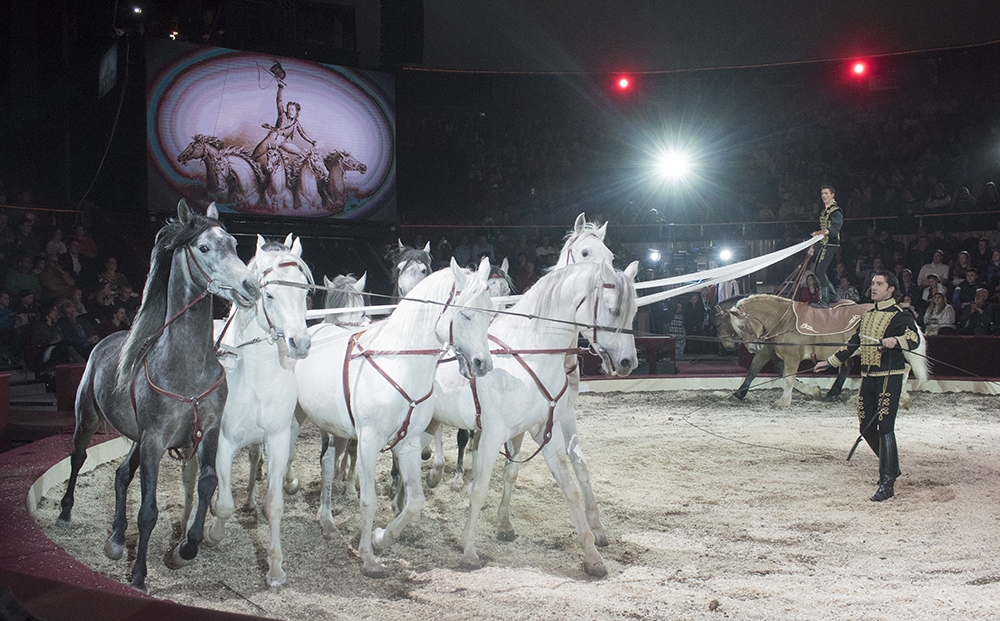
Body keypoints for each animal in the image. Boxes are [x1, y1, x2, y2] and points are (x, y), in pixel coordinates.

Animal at [55, 200, 261, 591]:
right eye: (204, 248)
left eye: (232, 244)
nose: (251, 287)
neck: (186, 369)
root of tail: (104, 341)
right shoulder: (154, 441)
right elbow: (148, 511)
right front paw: (138, 574)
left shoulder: (206, 431)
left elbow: (207, 483)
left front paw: (186, 549)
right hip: (88, 418)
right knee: (77, 458)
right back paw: (65, 512)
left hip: (135, 438)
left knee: (121, 474)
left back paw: (116, 540)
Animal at [203, 234, 313, 587]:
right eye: (270, 294)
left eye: (305, 292)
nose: (300, 343)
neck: (256, 377)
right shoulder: (223, 441)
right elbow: (224, 503)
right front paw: (212, 534)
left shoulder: (277, 439)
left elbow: (274, 505)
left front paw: (276, 569)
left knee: (253, 461)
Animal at [294, 257, 495, 577]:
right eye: (465, 315)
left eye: (490, 315)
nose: (483, 364)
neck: (398, 361)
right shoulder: (368, 442)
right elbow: (368, 500)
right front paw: (367, 557)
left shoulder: (408, 443)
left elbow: (415, 501)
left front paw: (381, 538)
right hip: (296, 418)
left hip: (336, 429)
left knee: (326, 464)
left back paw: (327, 523)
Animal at [431, 259, 638, 577]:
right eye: (612, 309)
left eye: (634, 311)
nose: (629, 362)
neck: (528, 354)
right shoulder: (493, 434)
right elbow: (479, 489)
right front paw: (469, 551)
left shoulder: (545, 430)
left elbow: (569, 485)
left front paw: (592, 554)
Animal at [724, 294, 928, 408]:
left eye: (741, 326)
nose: (752, 348)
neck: (785, 319)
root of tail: (901, 312)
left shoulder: (792, 356)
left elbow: (788, 378)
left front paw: (783, 402)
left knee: (901, 370)